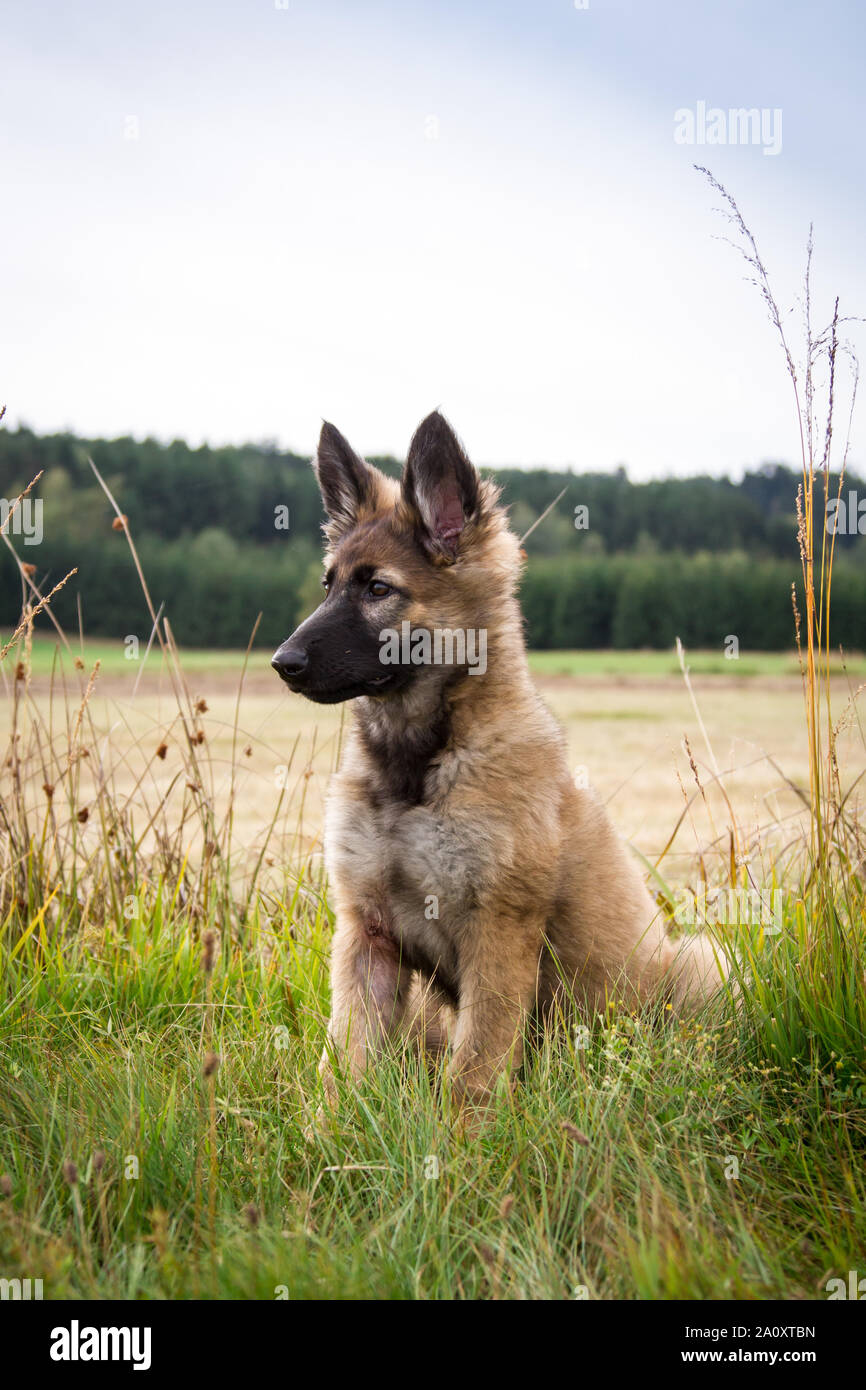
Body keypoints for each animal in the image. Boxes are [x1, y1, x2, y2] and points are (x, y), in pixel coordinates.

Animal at [272, 408, 733, 1106]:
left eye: (378, 588)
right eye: (328, 585)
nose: (284, 662)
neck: (418, 768)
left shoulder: (499, 933)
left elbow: (475, 1067)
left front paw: (463, 1133)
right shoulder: (365, 933)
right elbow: (345, 1060)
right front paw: (330, 1129)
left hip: (700, 966)